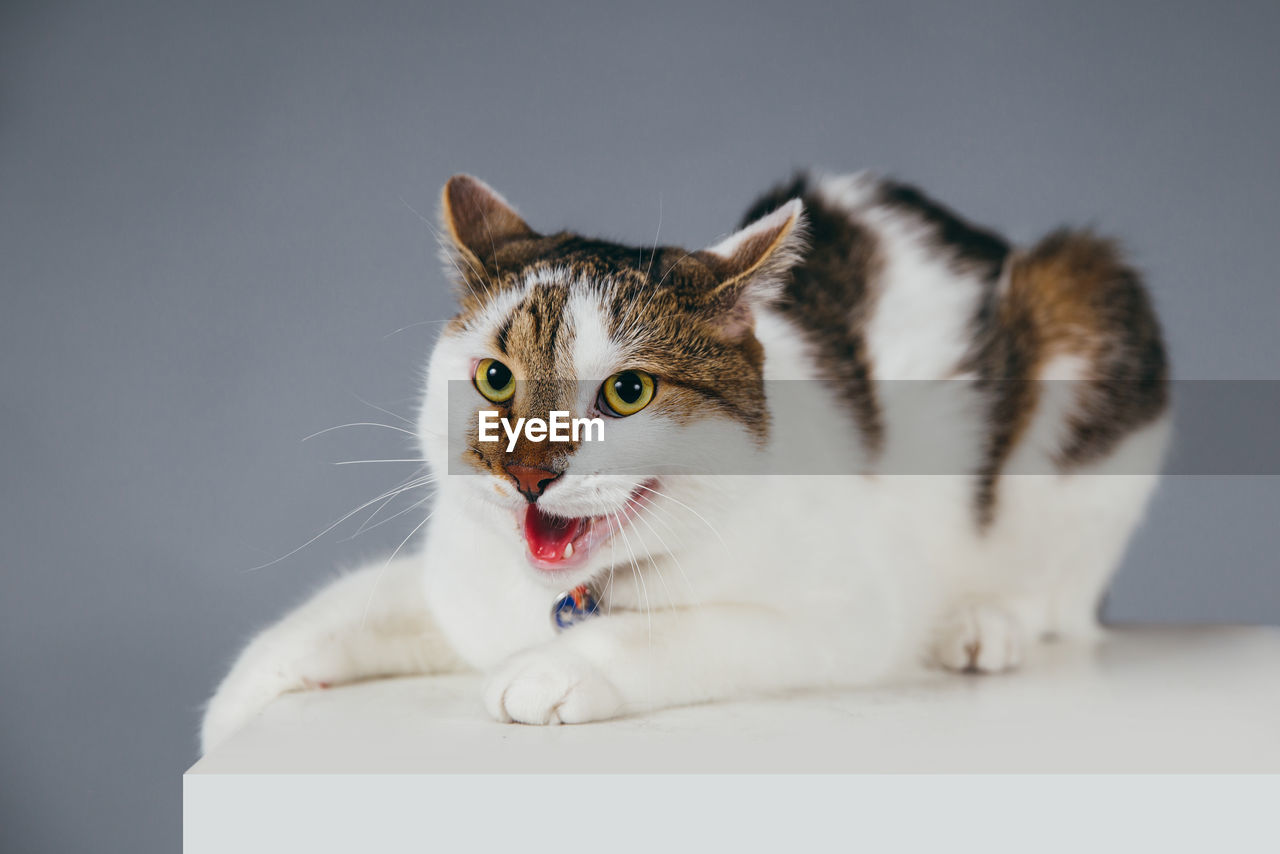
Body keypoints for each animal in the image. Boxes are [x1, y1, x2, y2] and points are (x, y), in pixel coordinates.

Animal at [199, 170, 1172, 752]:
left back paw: (979, 624)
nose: (528, 475)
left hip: (1086, 318)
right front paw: (245, 694)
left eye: (628, 392)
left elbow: (670, 628)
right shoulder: (459, 588)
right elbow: (351, 603)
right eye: (495, 378)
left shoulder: (844, 614)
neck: (557, 598)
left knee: (1060, 596)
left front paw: (558, 669)